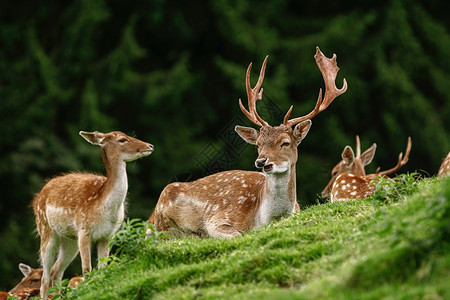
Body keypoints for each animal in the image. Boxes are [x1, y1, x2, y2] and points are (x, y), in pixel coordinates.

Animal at [32, 131, 153, 298]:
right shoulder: (84, 230)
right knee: (45, 277)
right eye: (122, 139)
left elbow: (103, 268)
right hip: (45, 230)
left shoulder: (107, 235)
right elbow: (87, 270)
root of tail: (37, 198)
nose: (150, 146)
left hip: (70, 240)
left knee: (56, 271)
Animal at [152, 47, 348, 238]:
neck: (264, 218)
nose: (261, 161)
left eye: (285, 143)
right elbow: (238, 234)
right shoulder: (218, 219)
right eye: (258, 144)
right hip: (164, 212)